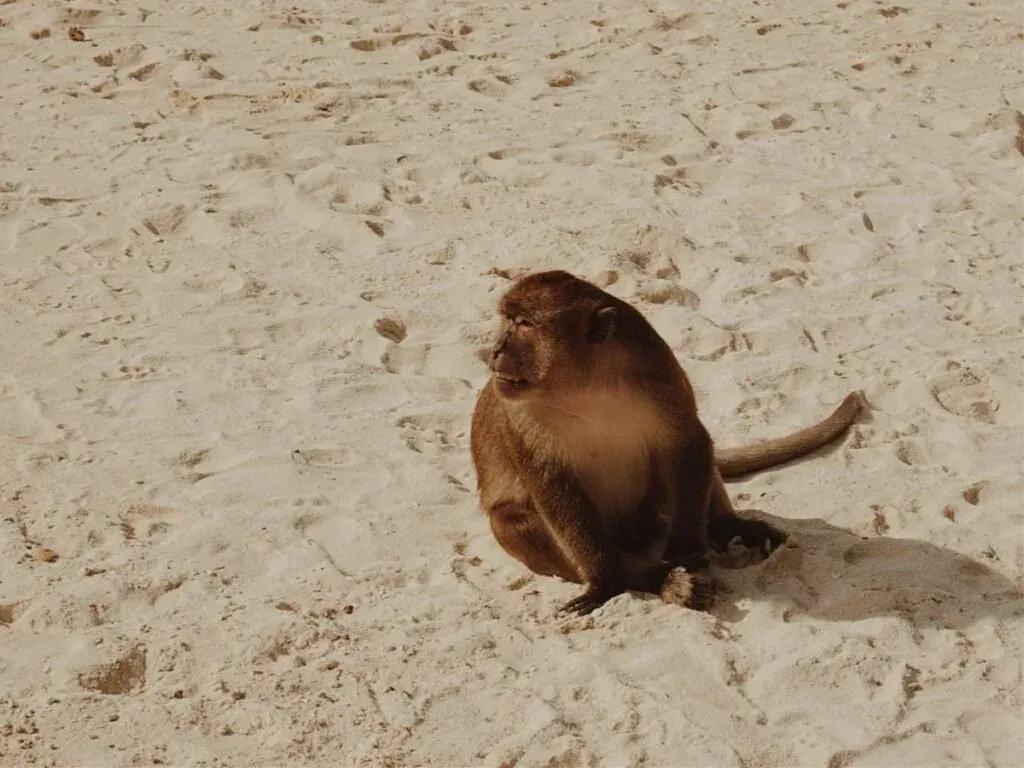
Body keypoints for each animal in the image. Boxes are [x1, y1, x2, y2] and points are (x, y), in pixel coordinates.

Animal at [469, 269, 865, 616]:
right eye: (508, 320)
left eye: (524, 325)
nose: (496, 350)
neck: (584, 386)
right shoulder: (520, 416)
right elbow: (554, 488)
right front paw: (606, 581)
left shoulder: (657, 370)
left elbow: (688, 441)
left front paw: (688, 549)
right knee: (513, 522)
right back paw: (659, 579)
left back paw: (726, 528)